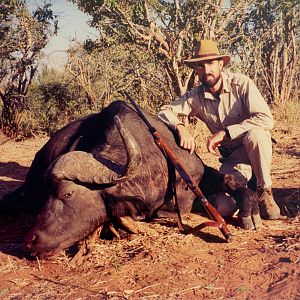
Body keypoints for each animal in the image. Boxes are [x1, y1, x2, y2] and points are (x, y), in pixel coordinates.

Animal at [0, 100, 258, 255]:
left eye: (68, 193)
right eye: (49, 193)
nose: (30, 241)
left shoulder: (200, 175)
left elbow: (230, 181)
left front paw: (250, 210)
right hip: (27, 191)